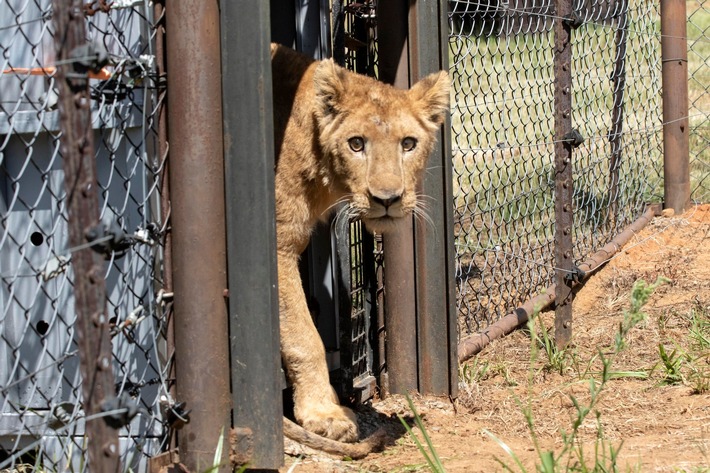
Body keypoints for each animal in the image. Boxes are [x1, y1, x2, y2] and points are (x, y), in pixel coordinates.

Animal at [271, 43, 449, 444]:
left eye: (408, 144)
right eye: (356, 144)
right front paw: (323, 413)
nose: (387, 199)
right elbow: (305, 335)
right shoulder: (277, 241)